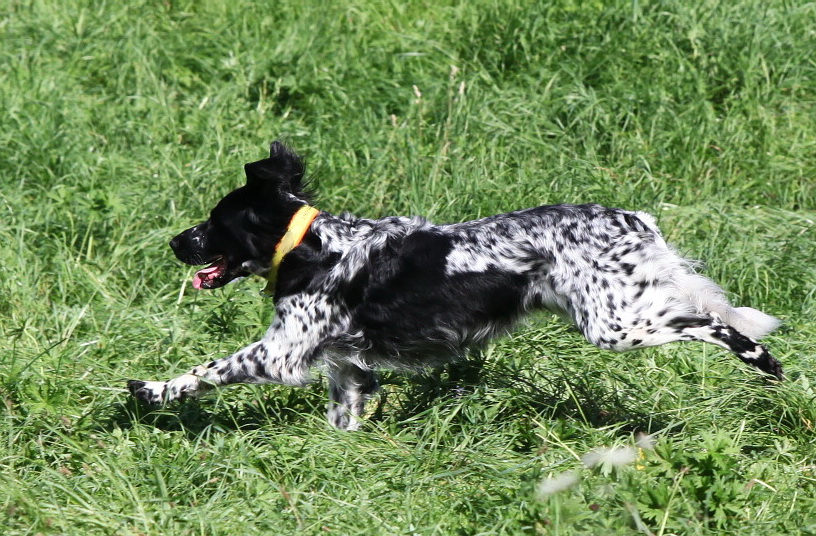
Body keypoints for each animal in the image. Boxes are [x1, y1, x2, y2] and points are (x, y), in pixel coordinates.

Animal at [129, 140, 784, 430]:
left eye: (214, 223)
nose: (175, 242)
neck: (313, 248)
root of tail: (632, 219)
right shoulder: (347, 369)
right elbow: (344, 421)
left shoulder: (280, 350)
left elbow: (208, 369)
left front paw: (154, 389)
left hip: (615, 324)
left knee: (714, 324)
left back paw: (766, 363)